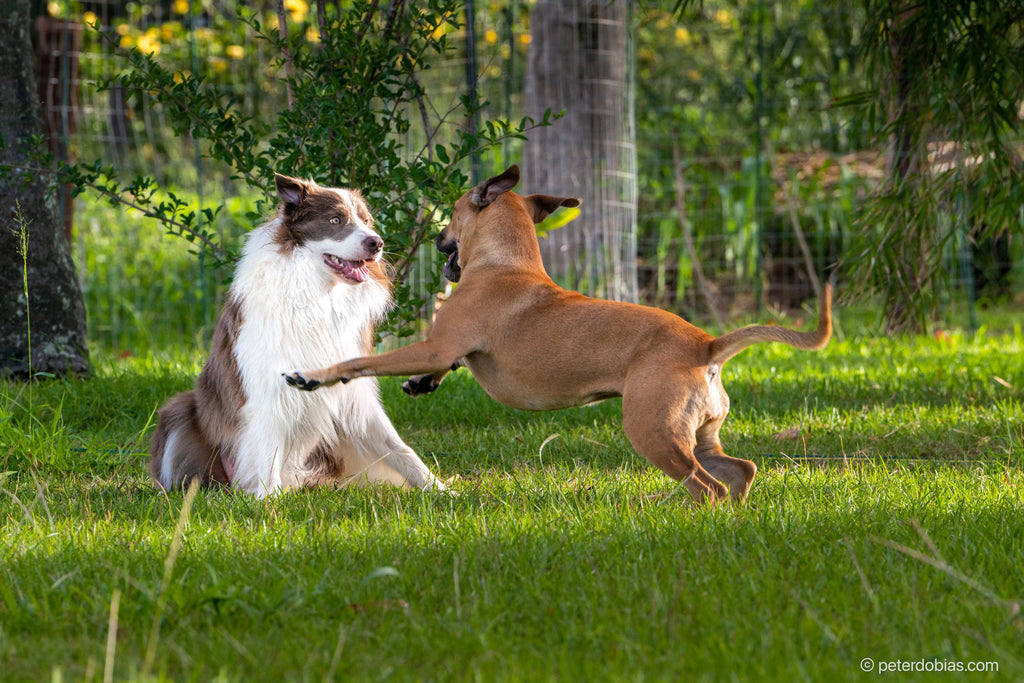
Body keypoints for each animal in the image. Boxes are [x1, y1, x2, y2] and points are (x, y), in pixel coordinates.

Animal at [149, 174, 444, 499]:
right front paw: (269, 501)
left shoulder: (354, 394)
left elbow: (398, 446)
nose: (376, 243)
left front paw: (440, 489)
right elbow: (268, 451)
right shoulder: (267, 389)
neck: (318, 292)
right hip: (179, 410)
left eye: (366, 221)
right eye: (335, 219)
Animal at [282, 165, 831, 507]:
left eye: (453, 214)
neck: (508, 263)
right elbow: (441, 365)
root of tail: (705, 347)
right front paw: (422, 383)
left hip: (654, 430)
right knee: (740, 470)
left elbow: (360, 362)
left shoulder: (438, 343)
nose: (439, 239)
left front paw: (313, 376)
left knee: (707, 487)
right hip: (700, 434)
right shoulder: (446, 350)